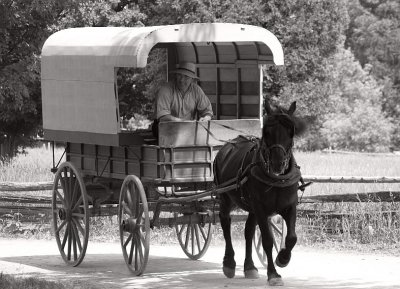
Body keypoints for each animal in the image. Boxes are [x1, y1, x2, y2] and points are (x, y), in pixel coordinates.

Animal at [216, 100, 306, 284]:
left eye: (291, 131)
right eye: (267, 132)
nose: (278, 163)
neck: (276, 179)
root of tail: (227, 146)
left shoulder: (289, 206)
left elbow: (292, 237)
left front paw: (283, 258)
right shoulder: (261, 208)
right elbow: (267, 240)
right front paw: (273, 274)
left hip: (251, 207)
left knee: (248, 230)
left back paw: (249, 267)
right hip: (226, 198)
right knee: (225, 222)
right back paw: (229, 263)